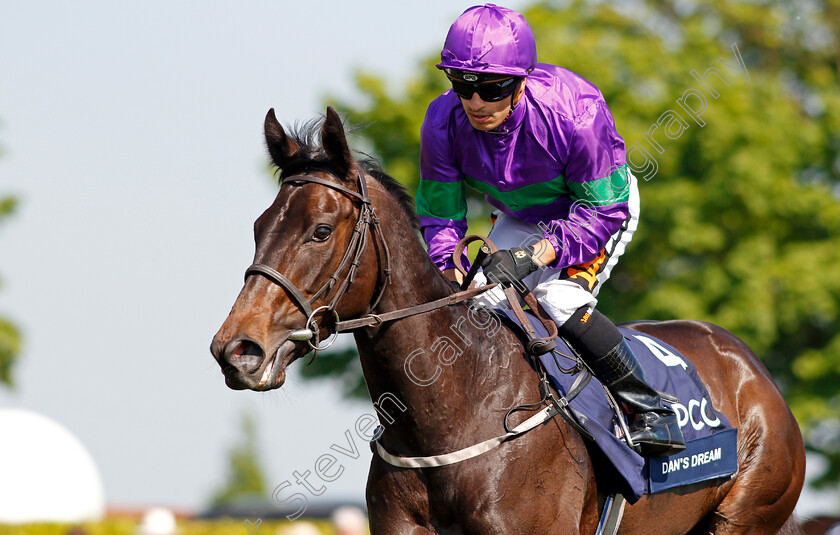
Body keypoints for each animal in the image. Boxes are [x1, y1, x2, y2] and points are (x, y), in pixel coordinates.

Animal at [210, 107, 808, 532]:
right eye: (259, 226)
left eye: (320, 230)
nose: (236, 350)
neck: (455, 409)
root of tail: (748, 364)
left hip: (748, 514)